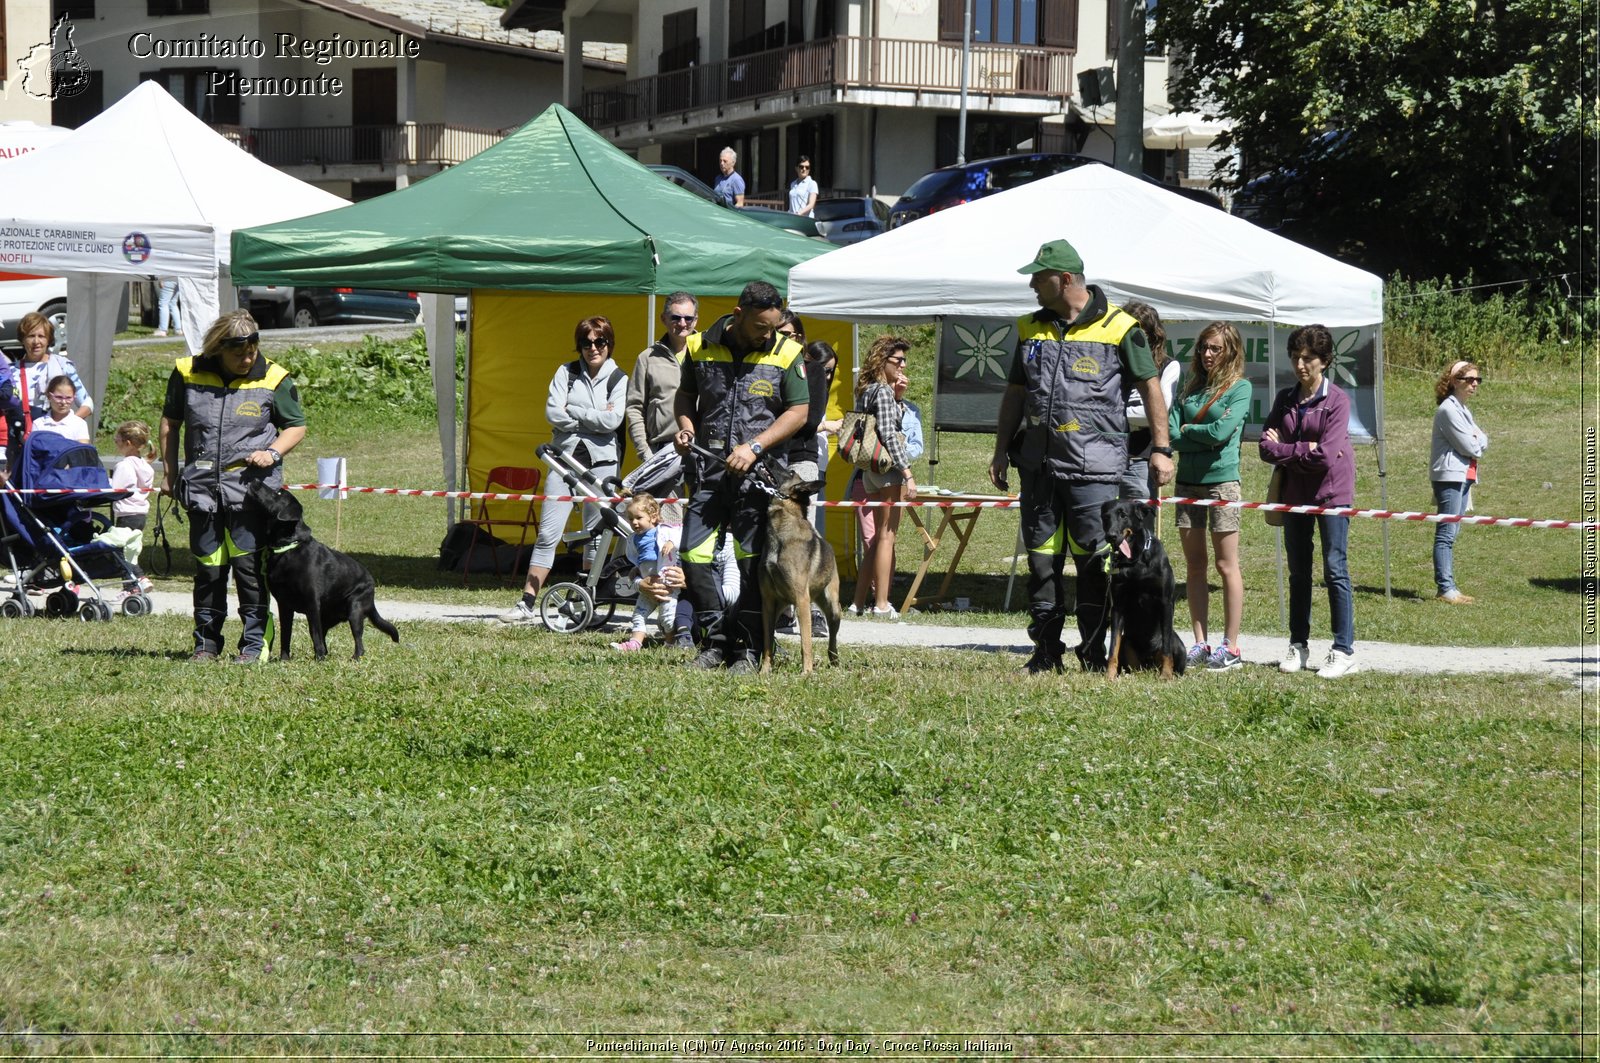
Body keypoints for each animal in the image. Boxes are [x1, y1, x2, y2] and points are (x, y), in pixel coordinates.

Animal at [249, 483, 403, 665]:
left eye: (278, 493)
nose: (255, 480)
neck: (287, 549)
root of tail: (372, 585)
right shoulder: (284, 604)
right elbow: (286, 634)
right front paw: (284, 660)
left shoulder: (312, 604)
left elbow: (314, 633)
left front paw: (319, 659)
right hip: (329, 616)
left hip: (354, 609)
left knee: (357, 641)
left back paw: (354, 658)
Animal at [1100, 493, 1190, 675]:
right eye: (1105, 517)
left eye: (1123, 515)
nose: (1111, 536)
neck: (1136, 561)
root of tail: (1148, 665)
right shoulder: (1117, 606)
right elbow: (1113, 647)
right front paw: (1110, 676)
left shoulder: (1165, 602)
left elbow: (1166, 649)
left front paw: (1166, 675)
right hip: (1127, 643)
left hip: (1178, 645)